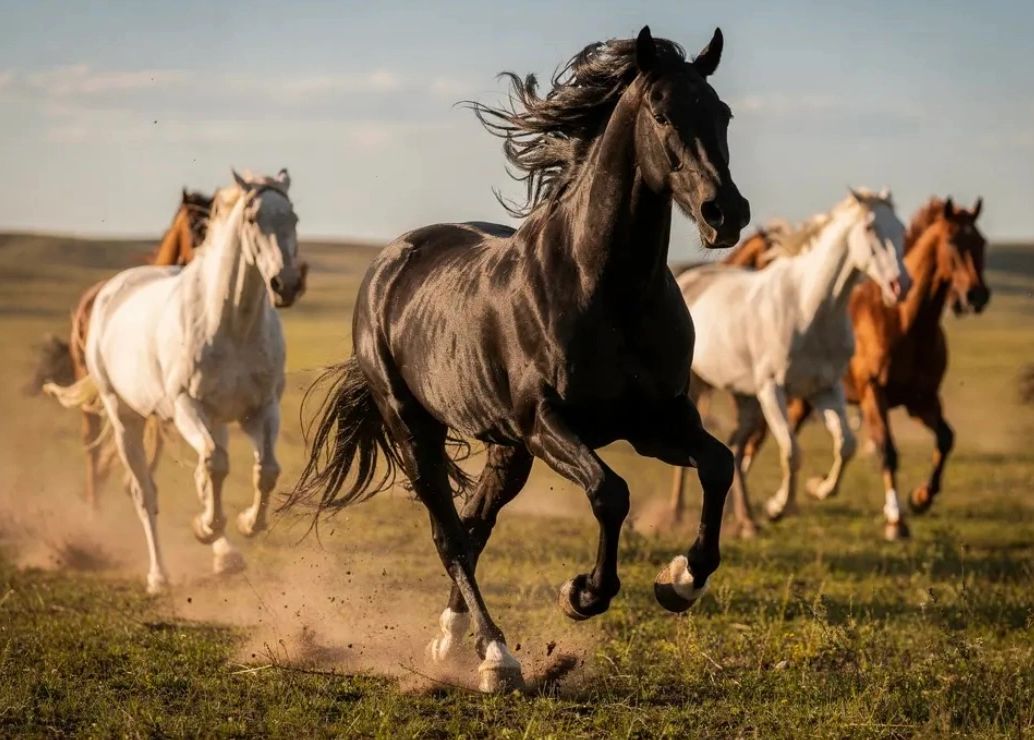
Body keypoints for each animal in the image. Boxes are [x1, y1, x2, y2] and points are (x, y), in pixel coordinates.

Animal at [45, 169, 304, 592]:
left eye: (293, 218)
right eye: (252, 219)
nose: (287, 284)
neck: (229, 324)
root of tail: (109, 292)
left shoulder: (260, 410)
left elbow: (264, 470)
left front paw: (247, 524)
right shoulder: (188, 408)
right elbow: (213, 466)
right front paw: (205, 527)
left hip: (213, 420)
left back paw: (225, 555)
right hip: (124, 418)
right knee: (142, 490)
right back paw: (158, 575)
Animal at [284, 26, 749, 693]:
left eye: (722, 112)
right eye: (661, 112)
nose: (725, 213)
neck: (606, 290)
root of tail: (390, 261)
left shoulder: (658, 421)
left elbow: (717, 464)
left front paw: (680, 580)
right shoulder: (547, 423)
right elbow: (610, 493)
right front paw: (582, 595)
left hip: (507, 449)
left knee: (475, 526)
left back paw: (451, 643)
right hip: (417, 430)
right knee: (450, 536)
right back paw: (496, 657)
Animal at [670, 189, 909, 539]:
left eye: (902, 229)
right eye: (869, 228)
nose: (899, 286)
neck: (810, 309)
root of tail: (688, 279)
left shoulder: (825, 390)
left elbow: (846, 444)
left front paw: (819, 489)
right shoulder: (773, 389)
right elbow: (792, 451)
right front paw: (778, 507)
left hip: (747, 400)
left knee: (735, 448)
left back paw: (746, 521)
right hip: (698, 388)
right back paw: (676, 514)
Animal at [711, 197, 990, 538]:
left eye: (981, 242)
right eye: (952, 241)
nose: (976, 295)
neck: (903, 323)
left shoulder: (922, 400)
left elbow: (946, 439)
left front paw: (922, 497)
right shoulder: (873, 394)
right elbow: (886, 450)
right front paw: (896, 520)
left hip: (805, 400)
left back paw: (792, 499)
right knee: (756, 443)